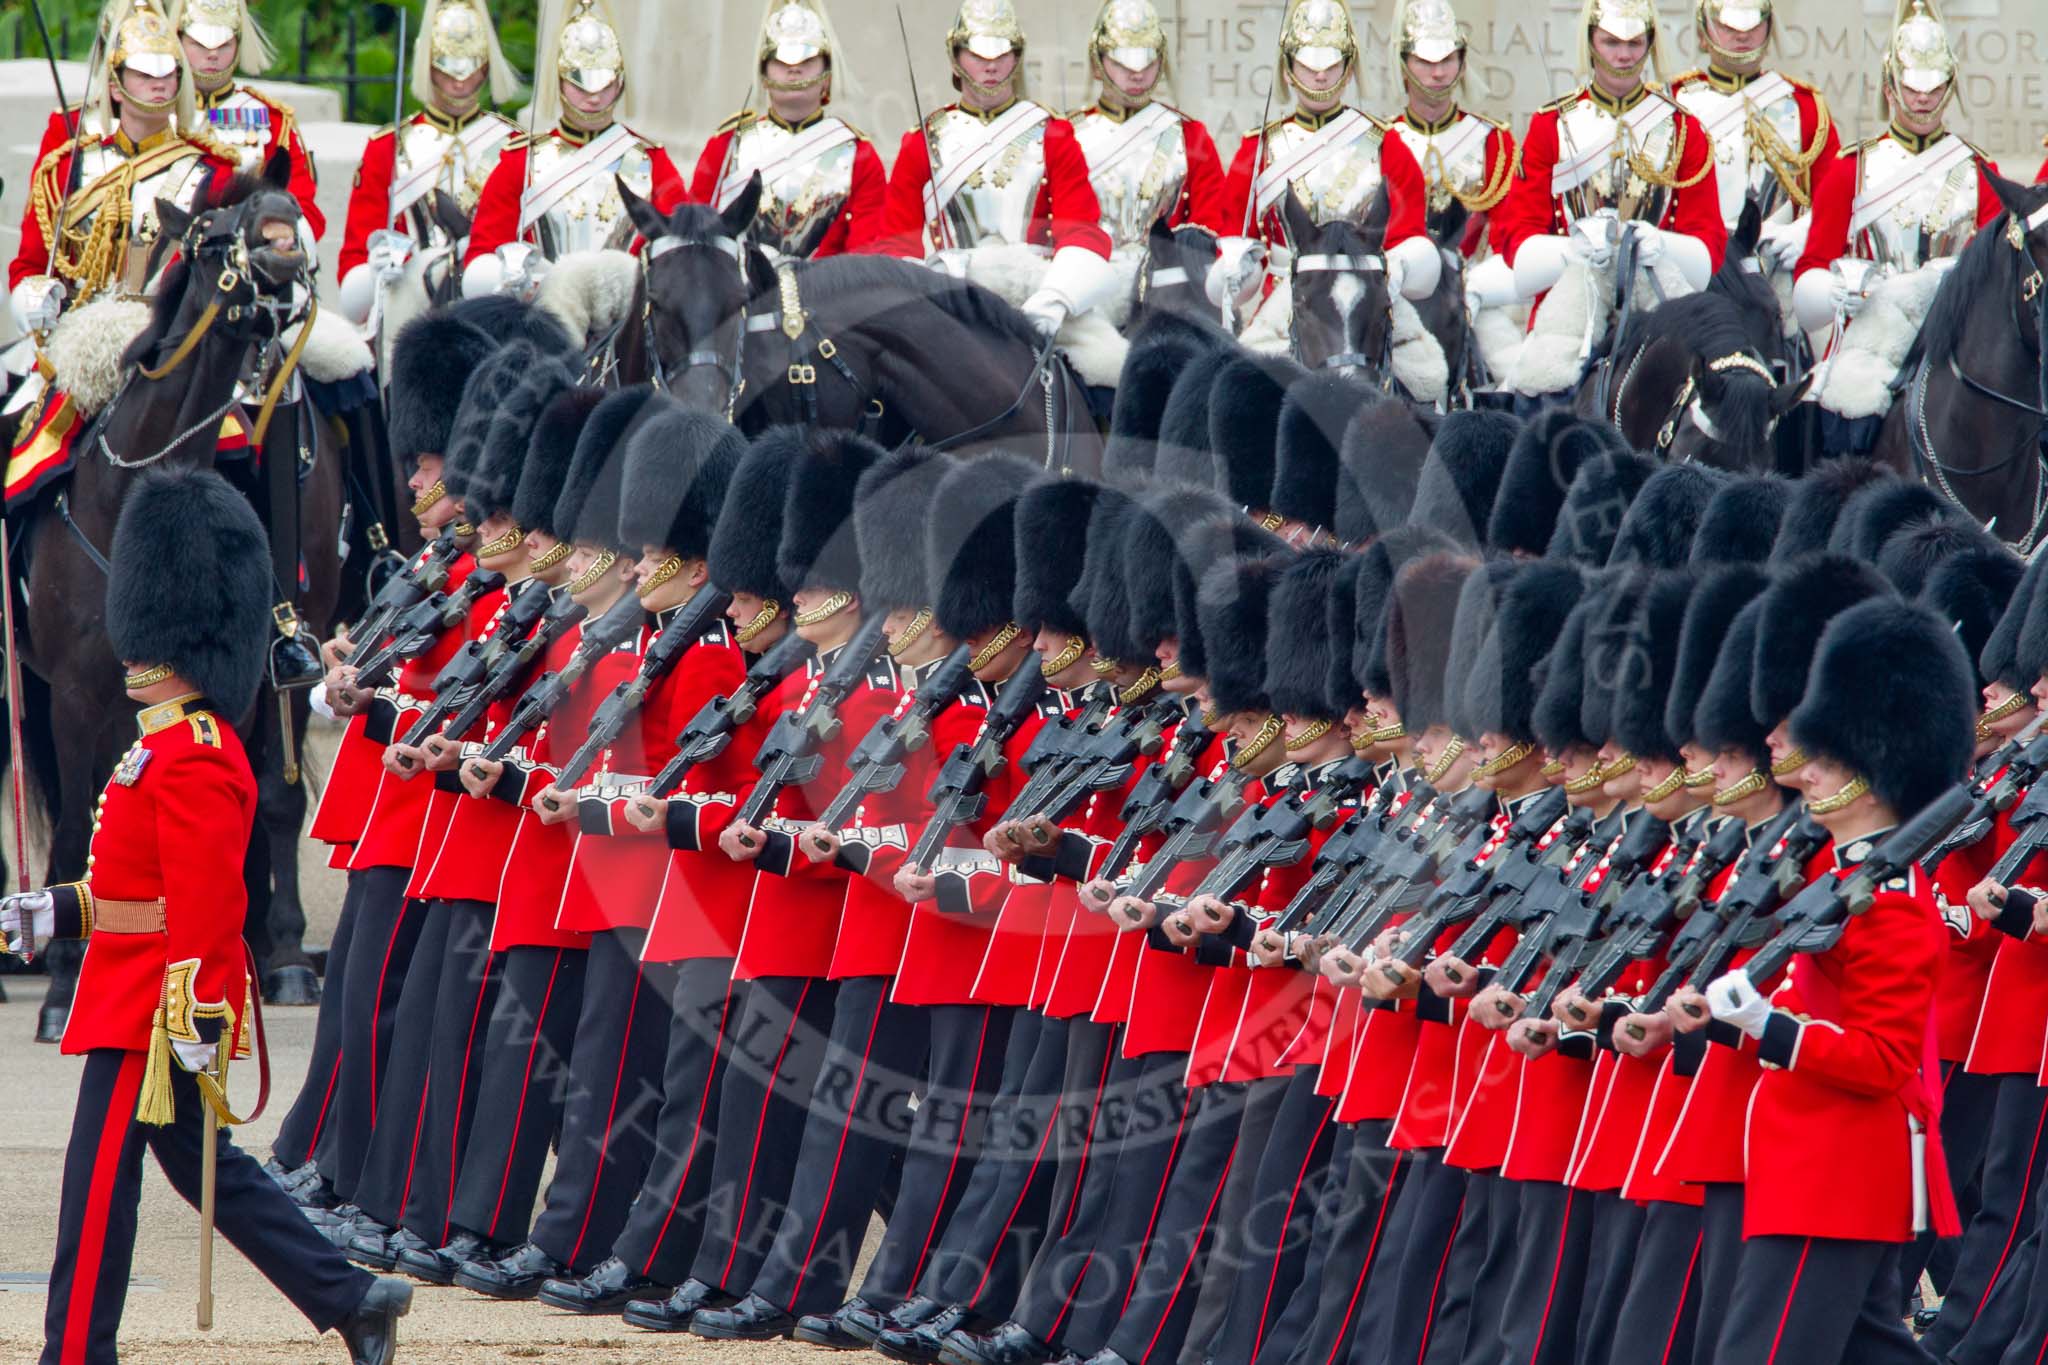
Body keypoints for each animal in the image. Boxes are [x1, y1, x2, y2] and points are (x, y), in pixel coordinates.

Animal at [18, 154, 344, 1039]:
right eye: (214, 236)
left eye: (294, 212)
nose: (282, 265)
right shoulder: (77, 694)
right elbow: (79, 820)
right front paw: (64, 987)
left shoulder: (234, 679)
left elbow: (254, 798)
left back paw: (279, 948)